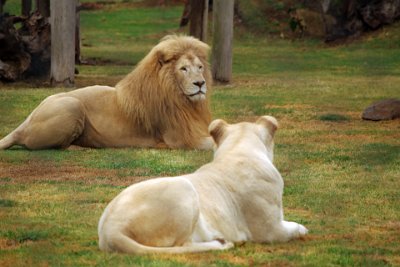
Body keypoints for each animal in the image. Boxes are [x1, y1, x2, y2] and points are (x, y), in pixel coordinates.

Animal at [0, 35, 212, 151]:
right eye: (183, 69)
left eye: (200, 67)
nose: (200, 83)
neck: (182, 99)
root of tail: (26, 121)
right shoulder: (180, 139)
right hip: (72, 105)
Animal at [97, 116, 310, 254]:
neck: (238, 150)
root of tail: (111, 230)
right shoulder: (271, 230)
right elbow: (297, 228)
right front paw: (302, 229)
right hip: (184, 188)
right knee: (182, 246)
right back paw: (221, 244)